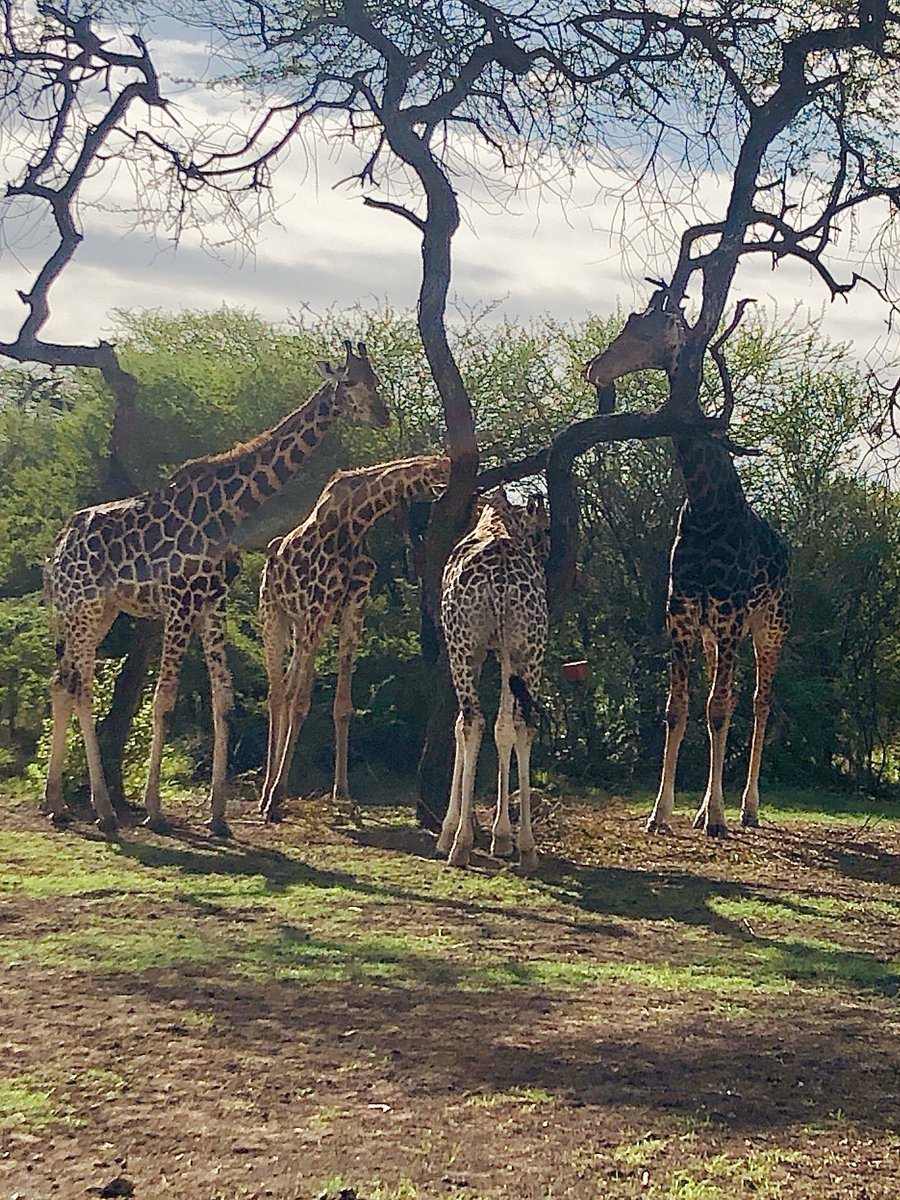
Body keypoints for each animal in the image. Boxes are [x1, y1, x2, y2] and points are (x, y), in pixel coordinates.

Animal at [43, 342, 388, 837]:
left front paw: (219, 814)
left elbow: (223, 700)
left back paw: (57, 803)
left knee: (62, 682)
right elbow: (164, 699)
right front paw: (154, 809)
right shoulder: (179, 603)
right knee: (82, 686)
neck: (230, 510)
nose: (382, 415)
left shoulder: (211, 603)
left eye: (375, 379)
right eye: (350, 381)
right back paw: (104, 810)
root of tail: (55, 552)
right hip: (82, 608)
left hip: (97, 612)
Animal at [258, 454, 451, 822]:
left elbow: (342, 706)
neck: (356, 522)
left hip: (299, 625)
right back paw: (266, 794)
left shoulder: (352, 612)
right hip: (275, 615)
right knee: (277, 693)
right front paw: (276, 797)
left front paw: (343, 793)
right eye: (439, 471)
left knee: (285, 688)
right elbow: (301, 703)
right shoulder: (319, 608)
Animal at [436, 490, 550, 870]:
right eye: (544, 529)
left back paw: (460, 844)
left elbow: (462, 725)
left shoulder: (473, 651)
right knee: (522, 723)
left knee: (474, 722)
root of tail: (499, 578)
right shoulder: (501, 652)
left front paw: (450, 832)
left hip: (466, 644)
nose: (546, 553)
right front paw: (501, 839)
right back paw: (527, 848)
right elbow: (504, 729)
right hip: (527, 646)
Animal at [584, 307, 790, 836]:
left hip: (769, 628)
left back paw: (747, 809)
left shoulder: (731, 617)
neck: (707, 507)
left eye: (644, 332)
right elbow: (677, 710)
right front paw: (661, 813)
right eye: (628, 323)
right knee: (732, 701)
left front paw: (715, 817)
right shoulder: (680, 617)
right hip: (715, 637)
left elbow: (717, 710)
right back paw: (709, 808)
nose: (595, 368)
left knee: (758, 702)